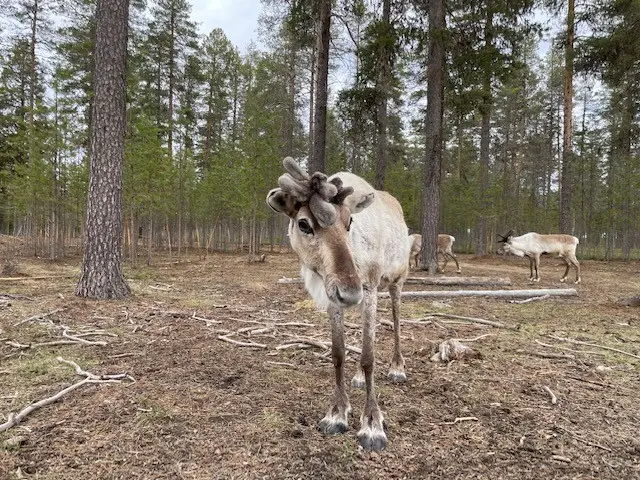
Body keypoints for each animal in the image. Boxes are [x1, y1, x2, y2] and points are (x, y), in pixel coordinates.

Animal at [267, 157, 410, 451]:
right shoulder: (332, 295)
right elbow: (338, 352)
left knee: (397, 318)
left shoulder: (369, 287)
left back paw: (397, 368)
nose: (350, 292)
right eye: (303, 224)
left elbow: (368, 356)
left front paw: (372, 424)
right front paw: (336, 414)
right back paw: (358, 378)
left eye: (349, 221)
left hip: (396, 280)